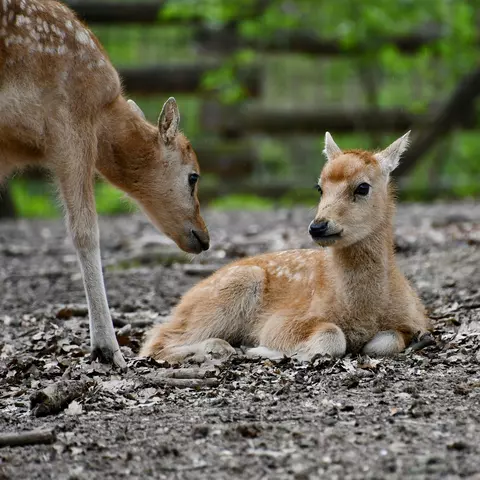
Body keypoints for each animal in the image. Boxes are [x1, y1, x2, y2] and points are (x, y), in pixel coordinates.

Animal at [141, 131, 430, 364]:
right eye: (319, 187)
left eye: (363, 187)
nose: (318, 226)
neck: (365, 312)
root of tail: (184, 301)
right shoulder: (283, 320)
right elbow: (331, 335)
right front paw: (261, 350)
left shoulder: (415, 321)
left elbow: (387, 341)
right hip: (230, 290)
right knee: (155, 340)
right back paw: (219, 348)